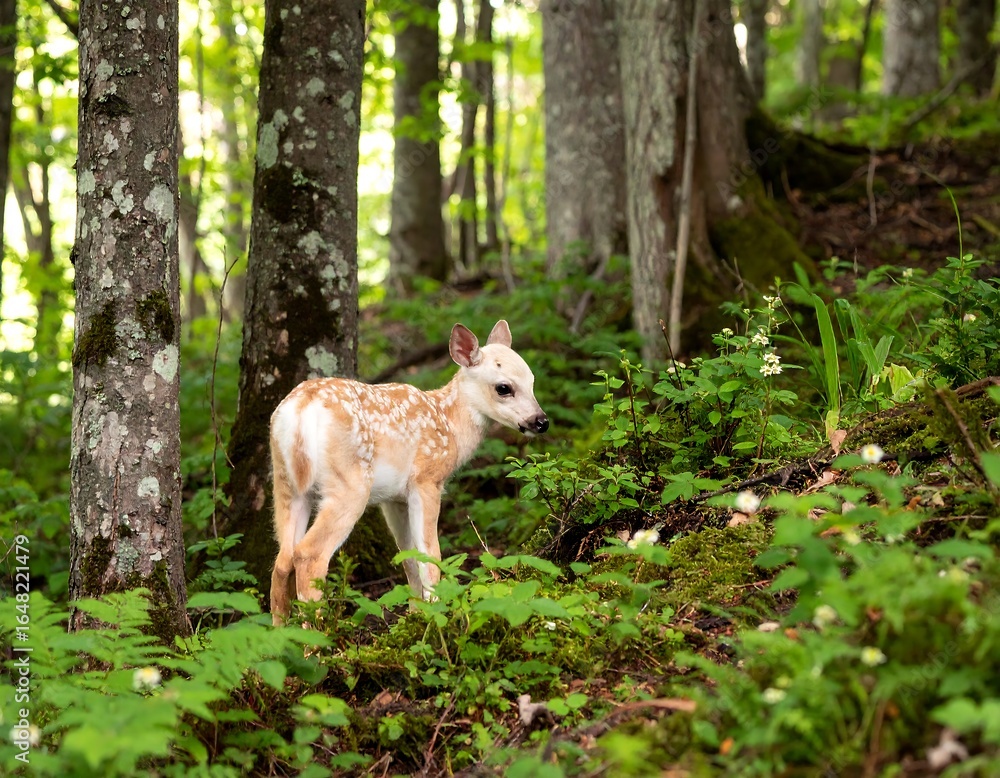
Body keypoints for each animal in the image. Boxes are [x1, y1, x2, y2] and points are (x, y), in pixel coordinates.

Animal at [268, 320, 548, 625]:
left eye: (533, 381)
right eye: (503, 387)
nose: (541, 421)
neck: (450, 425)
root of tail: (301, 410)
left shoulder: (394, 499)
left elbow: (409, 556)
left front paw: (415, 614)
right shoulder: (427, 480)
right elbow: (430, 553)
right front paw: (436, 611)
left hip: (286, 483)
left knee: (282, 560)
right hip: (349, 483)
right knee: (308, 554)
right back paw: (315, 634)